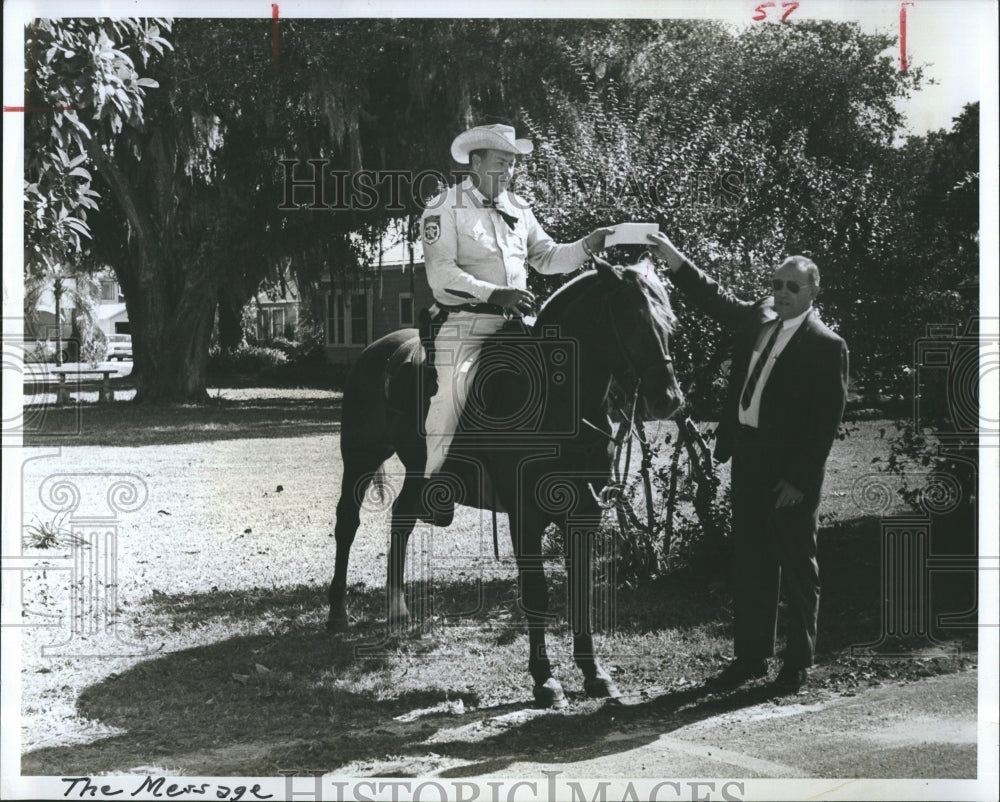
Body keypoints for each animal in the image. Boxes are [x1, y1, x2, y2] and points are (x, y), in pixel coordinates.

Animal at [324, 258, 684, 708]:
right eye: (632, 319)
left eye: (669, 322)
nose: (669, 400)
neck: (557, 401)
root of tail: (376, 350)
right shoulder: (524, 514)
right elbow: (536, 592)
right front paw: (545, 679)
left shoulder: (584, 514)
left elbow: (581, 590)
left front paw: (594, 672)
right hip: (360, 458)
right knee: (347, 525)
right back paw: (337, 613)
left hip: (416, 470)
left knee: (401, 520)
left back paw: (399, 612)